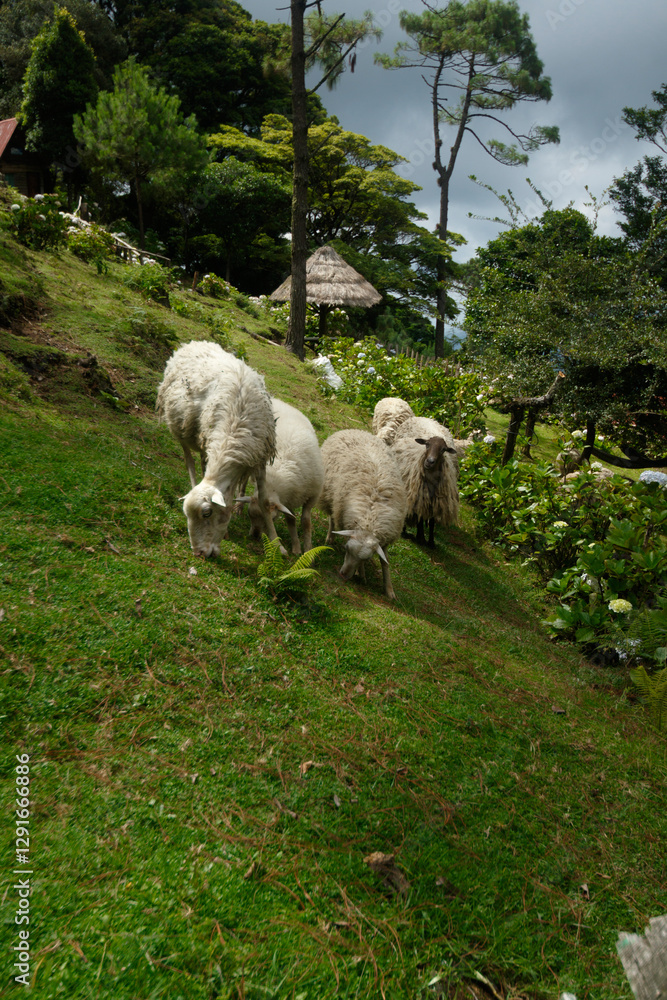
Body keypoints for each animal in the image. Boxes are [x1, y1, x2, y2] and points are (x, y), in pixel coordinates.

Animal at [156, 340, 276, 558]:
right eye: (186, 515)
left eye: (207, 513)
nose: (199, 554)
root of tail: (193, 343)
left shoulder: (259, 458)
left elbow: (263, 501)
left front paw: (277, 544)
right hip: (183, 432)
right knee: (190, 463)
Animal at [236, 397, 324, 555]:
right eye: (250, 515)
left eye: (272, 519)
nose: (255, 536)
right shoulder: (287, 500)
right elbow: (291, 521)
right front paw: (296, 547)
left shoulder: (310, 496)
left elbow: (305, 522)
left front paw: (307, 548)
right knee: (243, 481)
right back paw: (239, 505)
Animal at [319, 429, 408, 600]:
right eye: (346, 549)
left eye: (366, 558)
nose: (343, 575)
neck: (370, 520)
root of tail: (356, 430)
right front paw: (361, 574)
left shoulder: (385, 538)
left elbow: (385, 562)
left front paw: (389, 590)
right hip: (330, 494)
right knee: (332, 517)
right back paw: (330, 537)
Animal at [391, 416, 459, 547]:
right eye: (427, 445)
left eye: (443, 450)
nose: (430, 461)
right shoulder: (420, 496)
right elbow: (420, 517)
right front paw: (421, 537)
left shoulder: (437, 500)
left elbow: (432, 521)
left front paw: (431, 541)